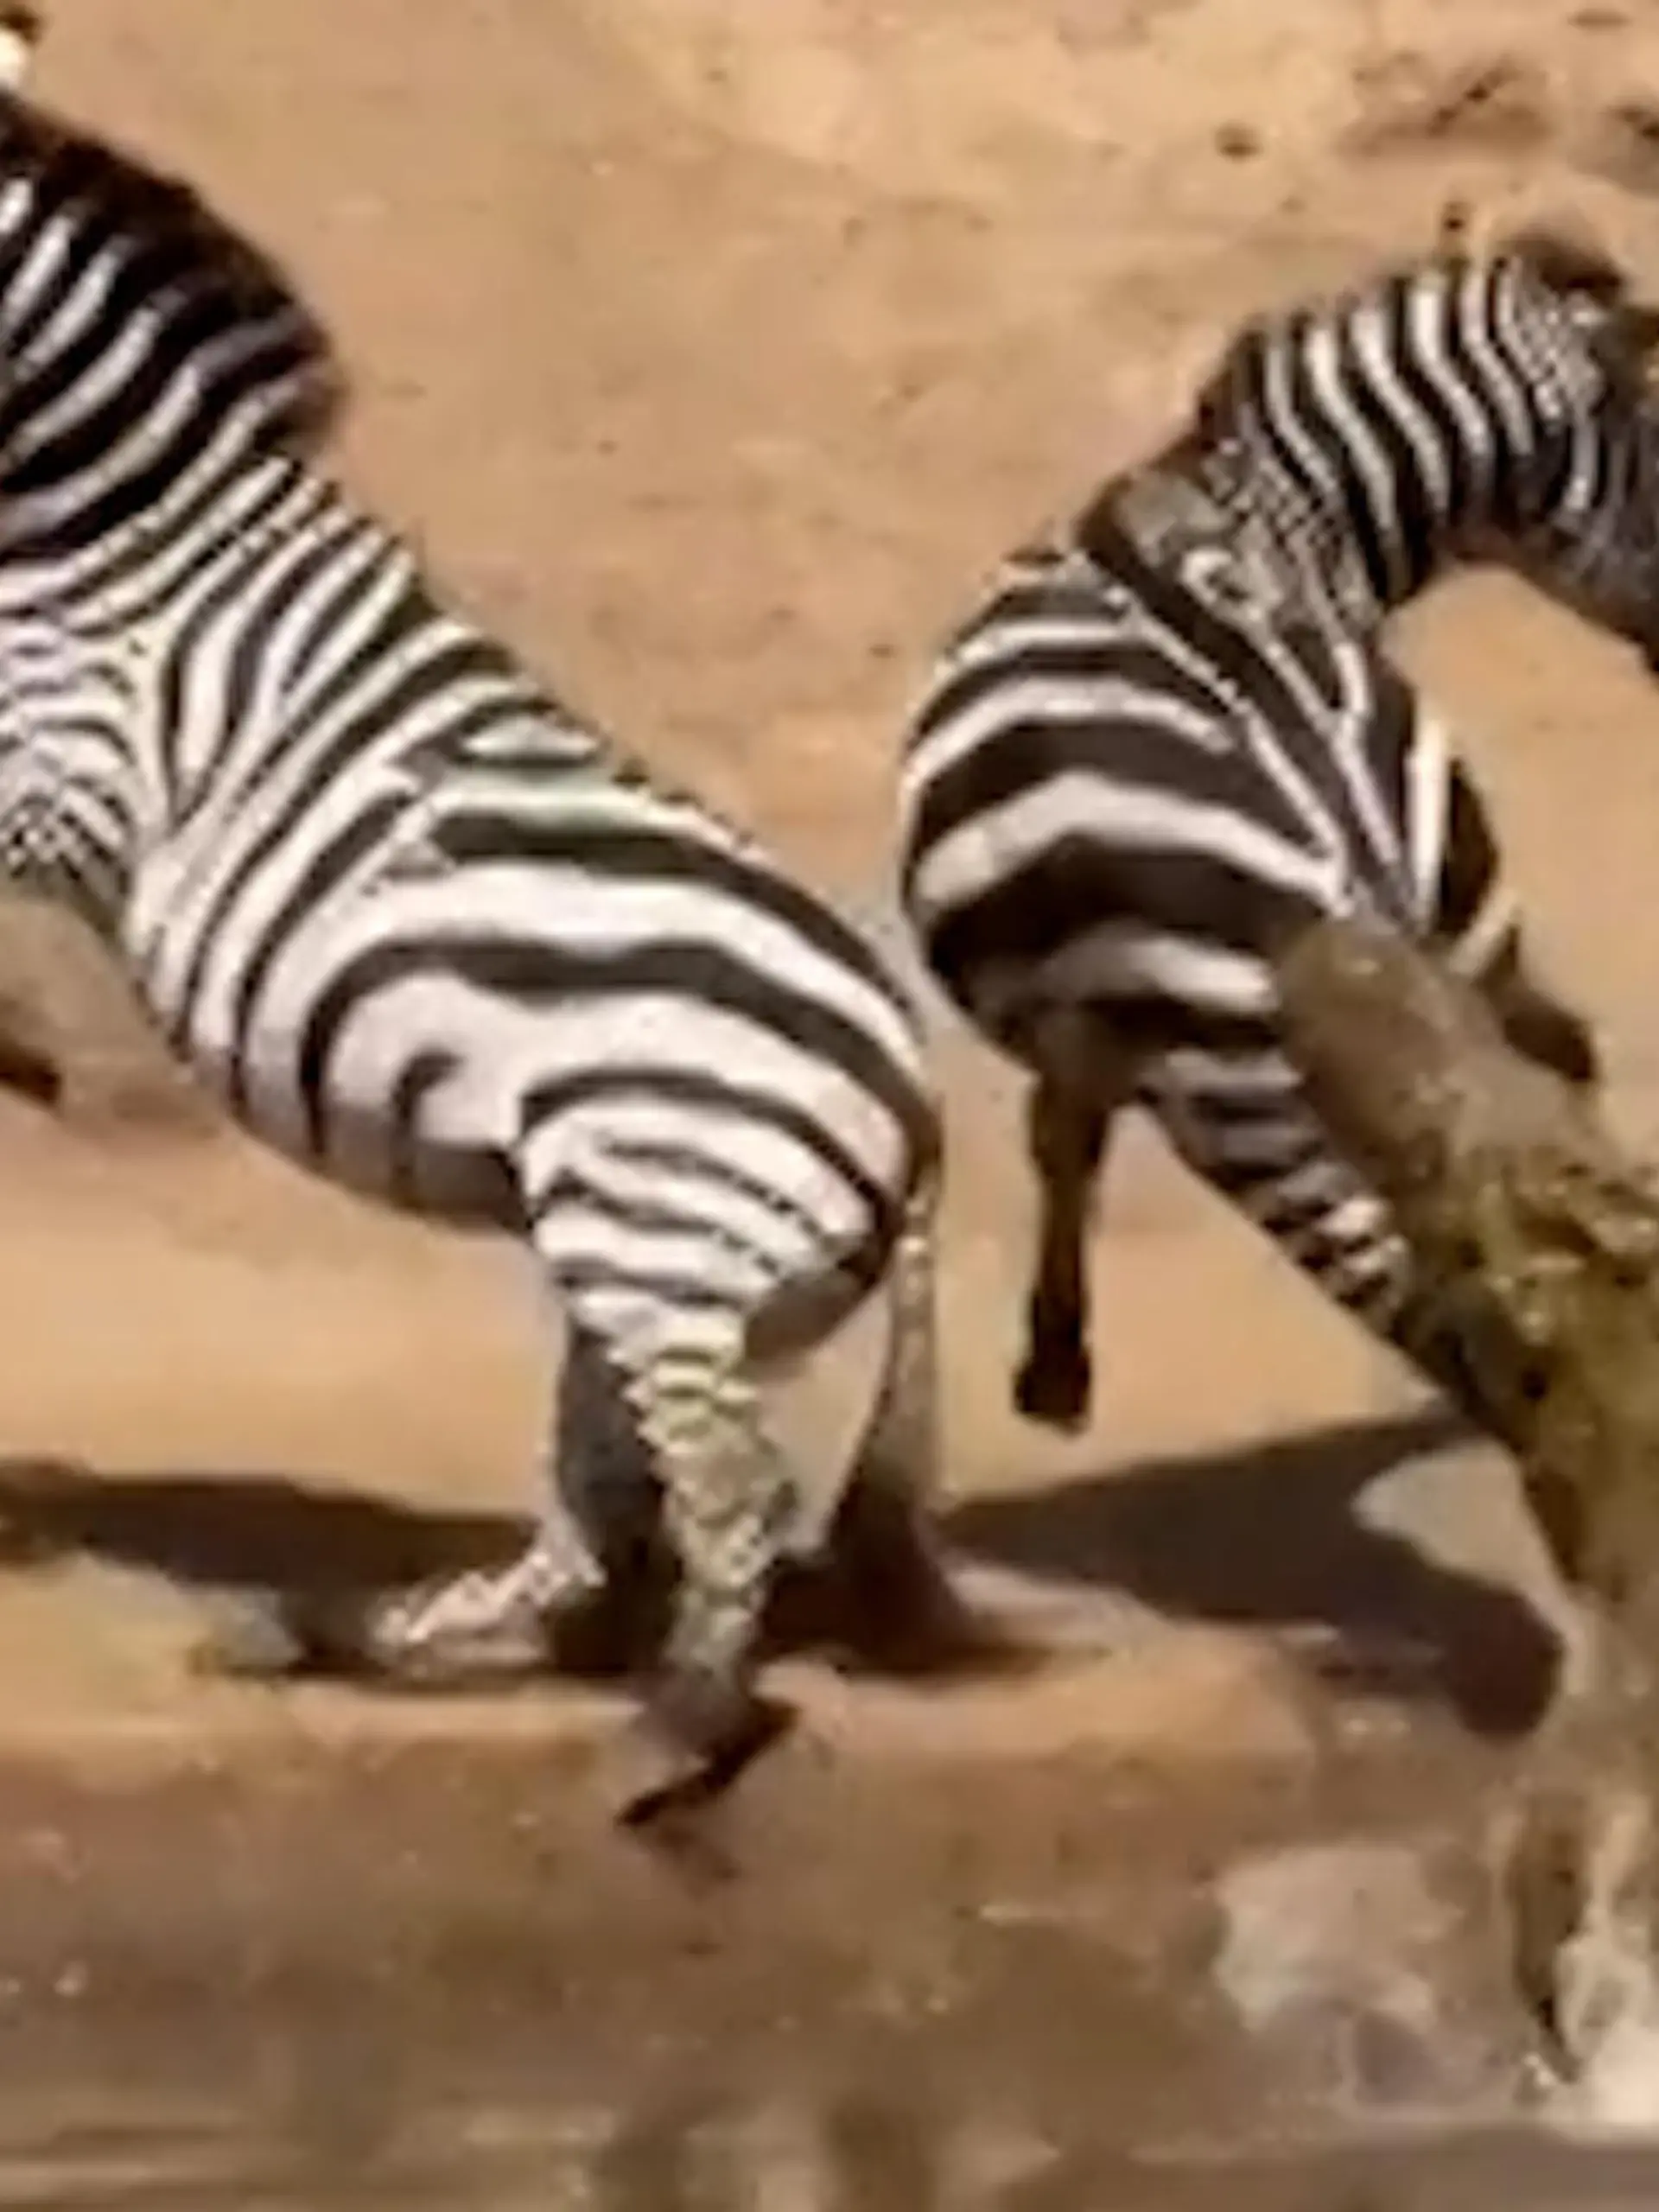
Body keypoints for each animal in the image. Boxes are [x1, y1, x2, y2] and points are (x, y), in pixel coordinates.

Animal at [0, 66, 975, 1814]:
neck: (119, 517)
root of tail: (916, 1108)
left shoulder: (72, 772)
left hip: (653, 1236)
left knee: (721, 1496)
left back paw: (671, 1733)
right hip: (640, 1269)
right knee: (602, 1522)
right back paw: (337, 1635)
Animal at [897, 216, 1659, 1596]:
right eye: (1654, 437)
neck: (1260, 509)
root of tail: (1333, 815)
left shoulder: (1090, 1025)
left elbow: (1061, 1137)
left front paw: (1053, 1369)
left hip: (1252, 1096)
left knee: (1441, 1318)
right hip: (1458, 924)